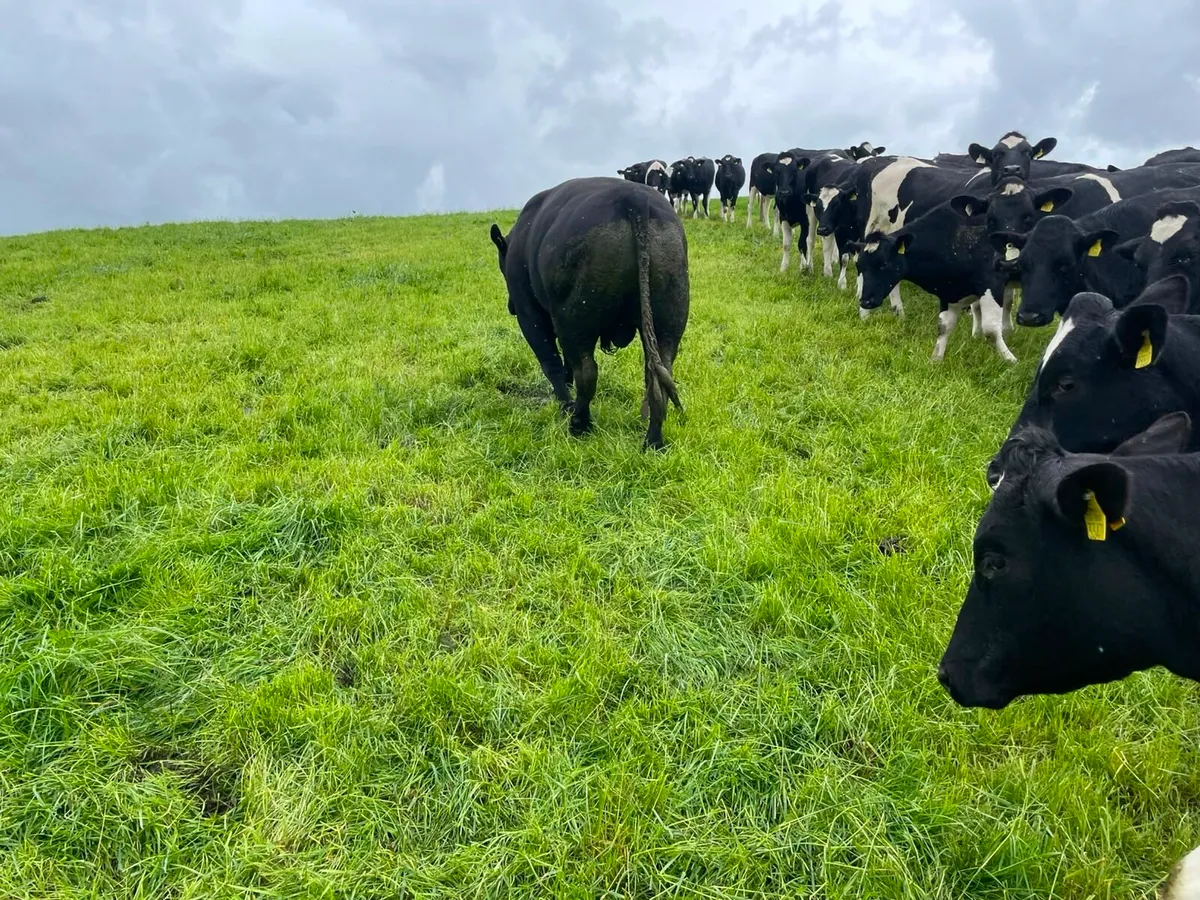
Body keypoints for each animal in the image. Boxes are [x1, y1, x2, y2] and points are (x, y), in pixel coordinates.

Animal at [488, 177, 688, 450]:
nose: (509, 307)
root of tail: (634, 198)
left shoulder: (529, 314)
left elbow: (551, 361)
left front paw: (564, 403)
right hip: (667, 323)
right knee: (659, 375)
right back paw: (653, 440)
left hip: (575, 322)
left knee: (586, 371)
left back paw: (579, 423)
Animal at [847, 204, 1016, 362]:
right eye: (859, 266)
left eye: (884, 264)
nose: (865, 301)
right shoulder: (951, 291)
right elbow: (944, 326)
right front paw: (936, 359)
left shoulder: (992, 283)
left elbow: (991, 329)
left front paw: (1009, 359)